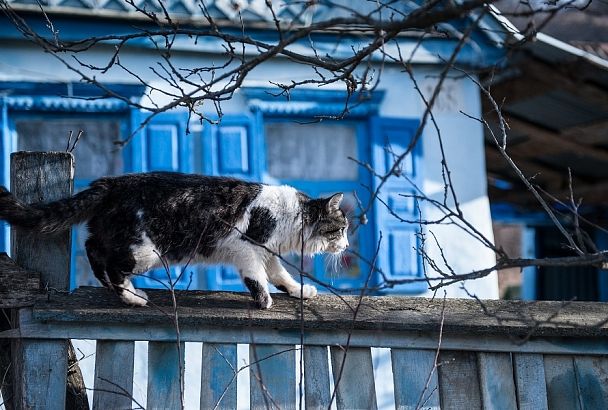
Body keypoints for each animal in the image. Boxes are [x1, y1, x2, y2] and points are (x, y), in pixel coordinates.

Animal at [0, 171, 350, 310]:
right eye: (341, 229)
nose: (347, 246)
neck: (291, 216)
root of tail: (112, 183)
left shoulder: (269, 253)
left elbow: (280, 275)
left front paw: (300, 291)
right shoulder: (248, 249)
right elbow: (258, 279)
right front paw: (264, 302)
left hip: (117, 238)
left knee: (92, 249)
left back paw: (121, 291)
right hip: (145, 251)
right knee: (109, 262)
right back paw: (132, 297)